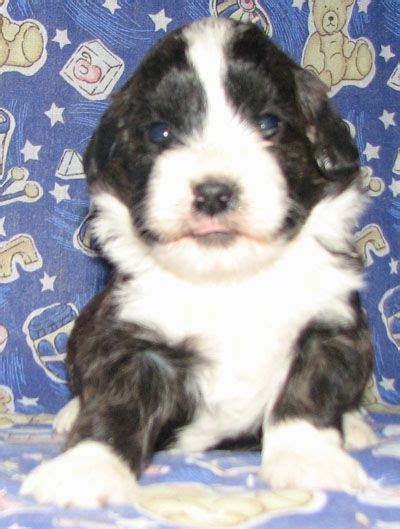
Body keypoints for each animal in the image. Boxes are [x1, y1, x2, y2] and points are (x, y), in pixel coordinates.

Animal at [22, 15, 378, 504]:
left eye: (269, 123)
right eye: (159, 132)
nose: (213, 193)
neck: (226, 280)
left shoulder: (330, 324)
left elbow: (309, 394)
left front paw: (309, 461)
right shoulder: (131, 337)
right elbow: (116, 404)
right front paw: (89, 467)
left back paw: (356, 426)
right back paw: (69, 414)